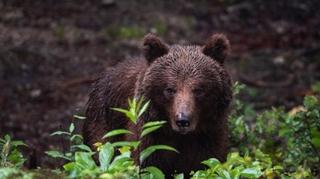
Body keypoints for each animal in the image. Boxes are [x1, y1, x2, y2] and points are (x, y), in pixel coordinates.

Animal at [82, 33, 232, 178]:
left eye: (199, 90)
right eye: (170, 89)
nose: (183, 121)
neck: (178, 136)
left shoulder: (209, 136)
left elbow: (207, 164)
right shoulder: (150, 138)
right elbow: (145, 165)